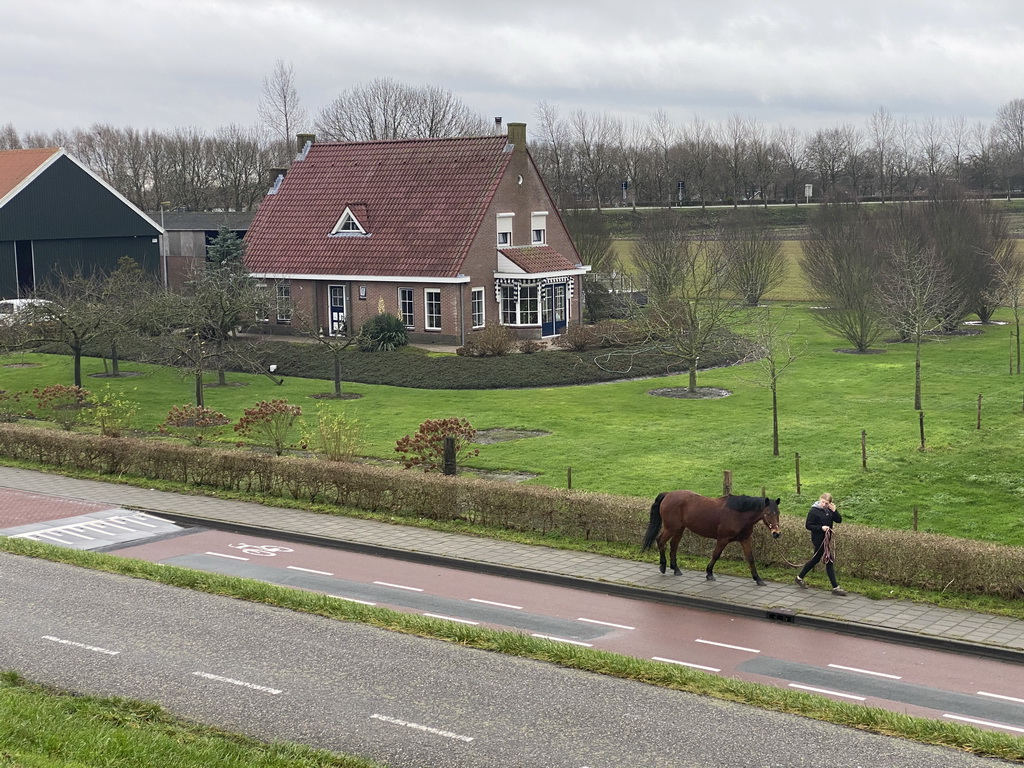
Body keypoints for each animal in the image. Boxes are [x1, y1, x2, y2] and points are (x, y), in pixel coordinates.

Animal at [643, 489, 778, 585]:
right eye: (768, 513)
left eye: (778, 513)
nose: (776, 533)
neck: (739, 513)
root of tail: (668, 494)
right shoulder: (723, 539)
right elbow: (716, 555)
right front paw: (709, 573)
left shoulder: (745, 539)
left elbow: (750, 558)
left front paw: (758, 579)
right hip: (671, 528)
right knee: (660, 541)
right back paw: (663, 566)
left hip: (679, 529)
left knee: (674, 545)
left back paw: (675, 568)